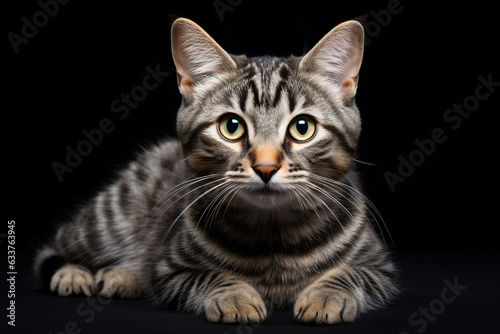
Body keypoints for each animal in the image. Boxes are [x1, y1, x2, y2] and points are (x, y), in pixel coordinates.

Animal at [35, 17, 398, 324]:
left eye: (302, 127)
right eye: (232, 126)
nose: (265, 167)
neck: (274, 235)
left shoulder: (379, 267)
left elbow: (349, 273)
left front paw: (325, 297)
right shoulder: (170, 269)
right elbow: (210, 276)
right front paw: (235, 297)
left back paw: (120, 276)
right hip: (106, 222)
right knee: (52, 249)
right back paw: (75, 274)